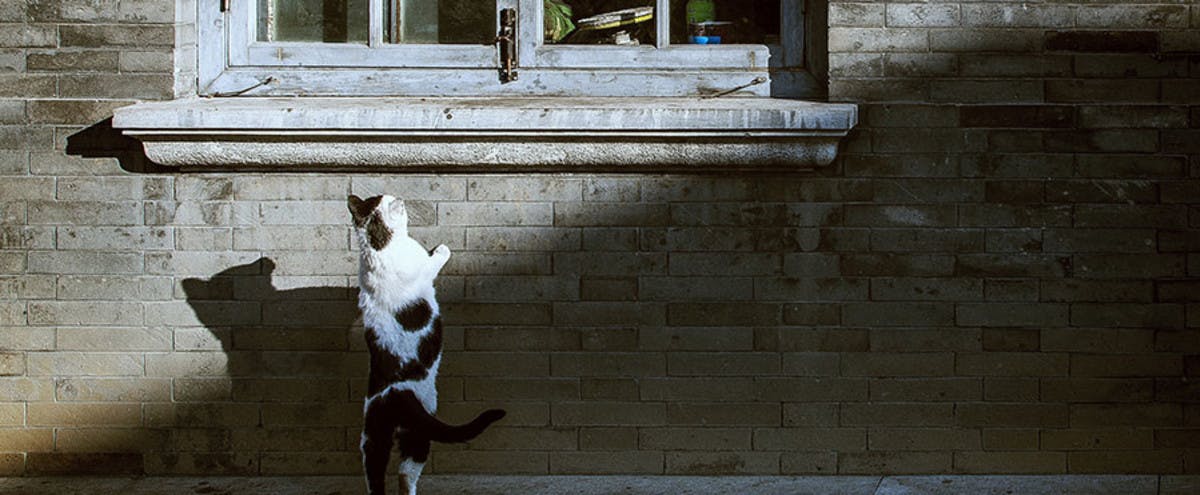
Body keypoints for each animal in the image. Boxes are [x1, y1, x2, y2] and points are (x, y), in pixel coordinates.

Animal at [350, 193, 511, 495]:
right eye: (392, 200)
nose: (400, 197)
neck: (378, 247)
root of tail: (392, 394)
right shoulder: (422, 267)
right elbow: (433, 261)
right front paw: (442, 249)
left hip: (372, 439)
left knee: (376, 478)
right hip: (420, 429)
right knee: (405, 473)